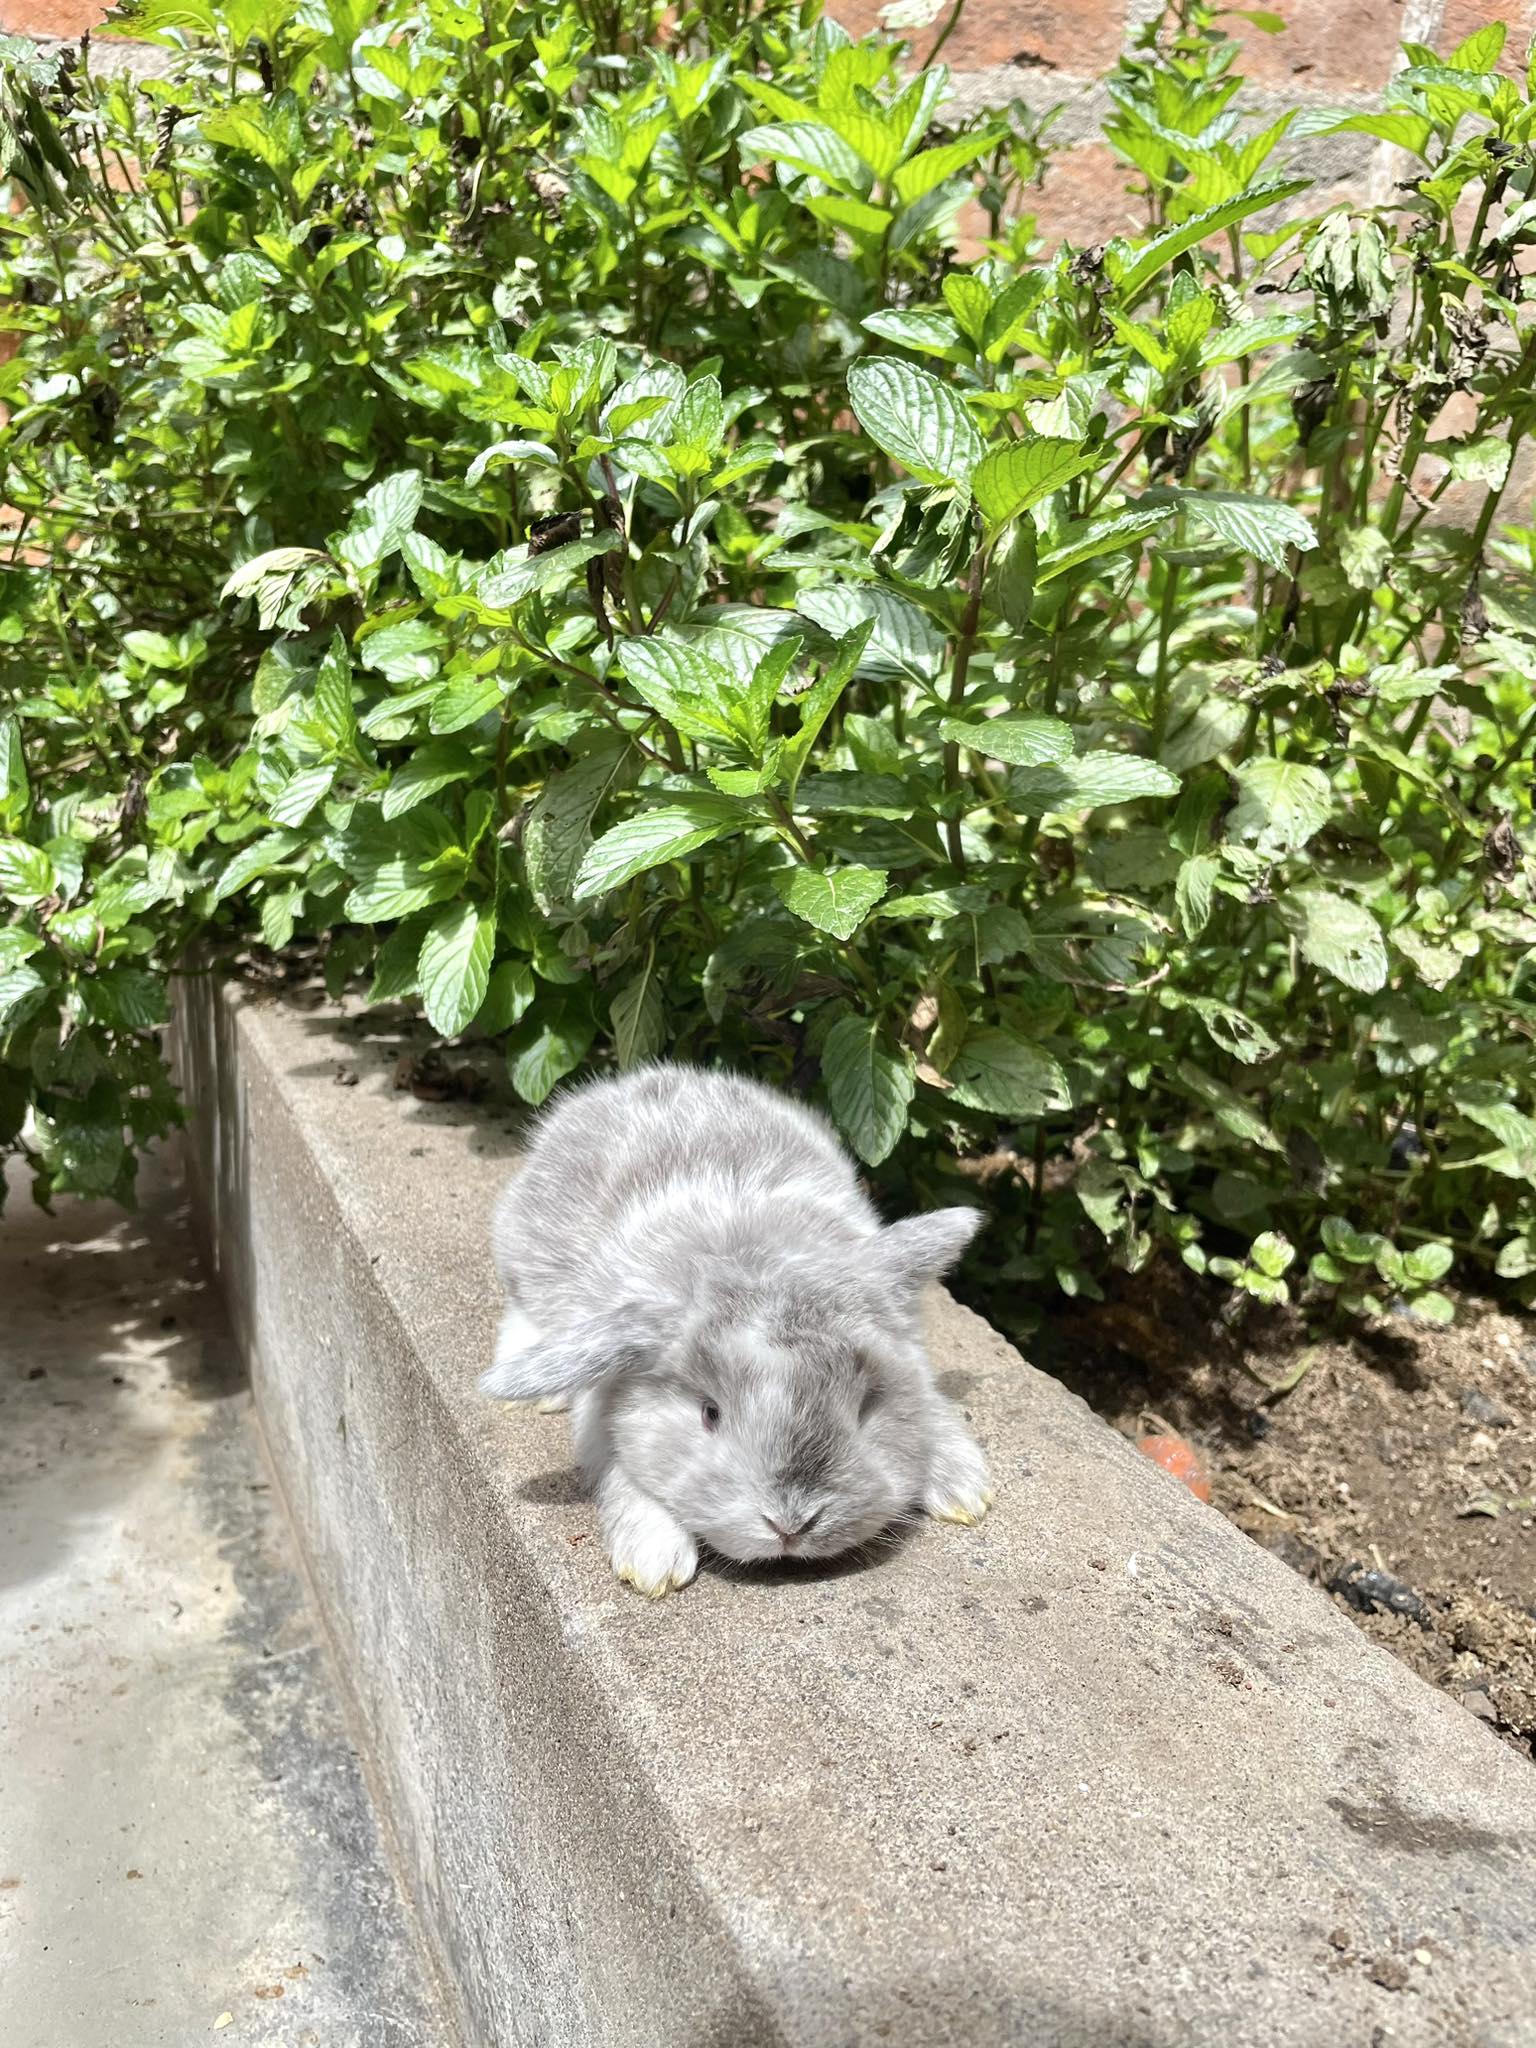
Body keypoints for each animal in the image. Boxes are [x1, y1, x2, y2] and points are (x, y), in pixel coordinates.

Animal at [479, 1062, 991, 1597]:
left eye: (865, 1408)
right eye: (710, 1414)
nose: (791, 1525)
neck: (752, 1256)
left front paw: (962, 1485)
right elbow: (626, 1475)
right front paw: (653, 1562)